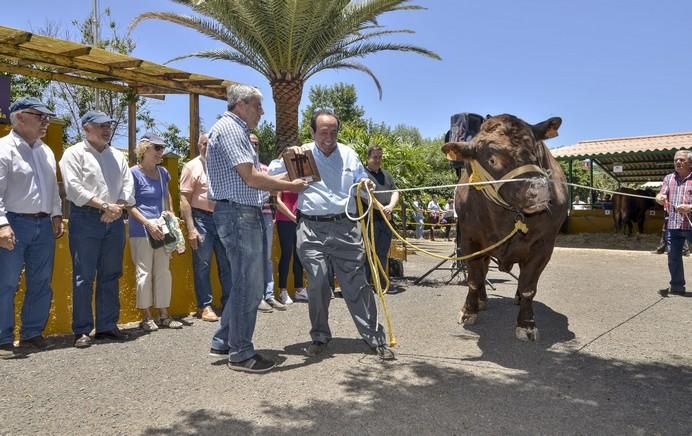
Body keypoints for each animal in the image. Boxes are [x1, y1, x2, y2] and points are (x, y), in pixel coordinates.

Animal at [444, 114, 568, 342]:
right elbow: (473, 279)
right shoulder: (470, 239)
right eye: (492, 160)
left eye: (535, 149)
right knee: (482, 272)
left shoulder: (544, 244)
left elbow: (528, 287)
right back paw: (481, 300)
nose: (538, 190)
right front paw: (468, 311)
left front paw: (526, 324)